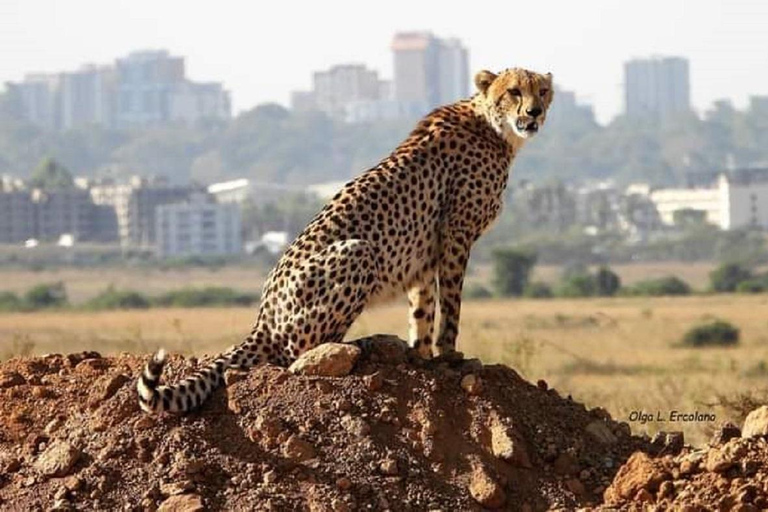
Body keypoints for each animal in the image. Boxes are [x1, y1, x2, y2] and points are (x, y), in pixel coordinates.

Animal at [138, 68, 556, 412]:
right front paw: (449, 353)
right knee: (298, 354)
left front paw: (422, 357)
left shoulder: (424, 252)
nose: (534, 112)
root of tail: (263, 317)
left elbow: (422, 309)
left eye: (542, 91)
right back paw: (362, 344)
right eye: (514, 91)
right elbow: (451, 305)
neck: (495, 128)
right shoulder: (455, 234)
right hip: (358, 251)